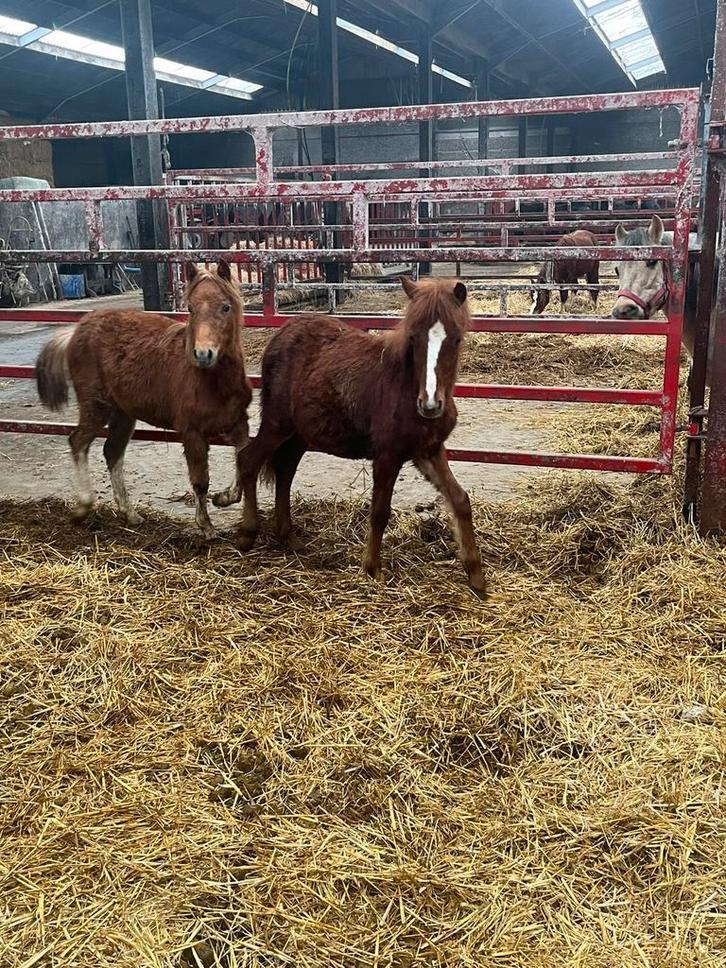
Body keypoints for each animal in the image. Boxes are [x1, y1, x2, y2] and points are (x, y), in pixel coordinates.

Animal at [35, 261, 251, 537]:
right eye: (190, 308)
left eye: (225, 307)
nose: (203, 354)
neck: (212, 382)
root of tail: (76, 331)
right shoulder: (192, 432)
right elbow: (200, 481)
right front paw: (206, 527)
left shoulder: (238, 422)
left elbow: (245, 461)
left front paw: (223, 498)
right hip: (96, 406)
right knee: (78, 442)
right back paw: (83, 507)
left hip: (123, 414)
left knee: (112, 452)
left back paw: (130, 514)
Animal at [214, 276, 486, 596]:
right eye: (413, 338)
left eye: (456, 339)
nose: (430, 405)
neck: (405, 388)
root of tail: (281, 336)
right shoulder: (387, 455)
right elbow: (380, 511)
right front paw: (371, 569)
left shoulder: (428, 451)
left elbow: (460, 500)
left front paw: (476, 577)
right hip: (278, 423)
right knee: (250, 460)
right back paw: (247, 535)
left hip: (299, 434)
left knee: (284, 470)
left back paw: (289, 538)